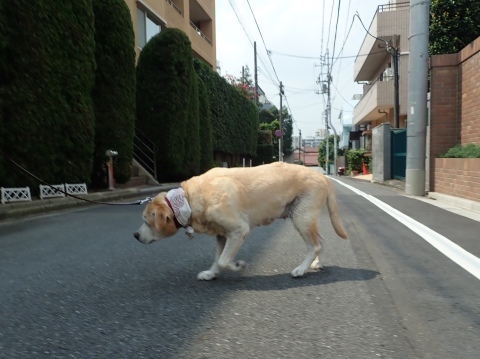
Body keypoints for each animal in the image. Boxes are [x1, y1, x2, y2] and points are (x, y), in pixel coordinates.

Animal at [133, 163, 346, 282]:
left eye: (146, 221)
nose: (135, 235)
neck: (188, 199)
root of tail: (321, 175)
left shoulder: (238, 230)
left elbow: (224, 260)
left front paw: (238, 266)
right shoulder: (221, 235)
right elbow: (217, 259)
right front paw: (211, 274)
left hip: (301, 218)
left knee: (315, 245)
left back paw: (301, 269)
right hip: (304, 218)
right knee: (320, 242)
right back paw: (316, 263)